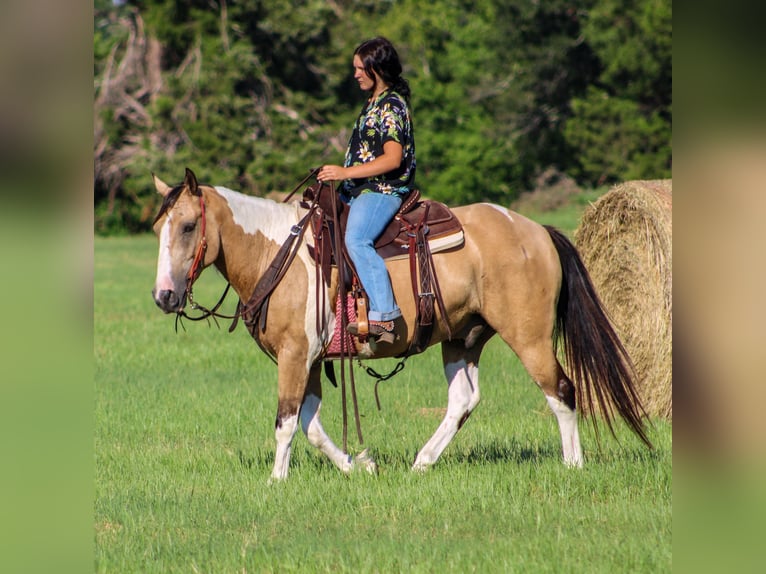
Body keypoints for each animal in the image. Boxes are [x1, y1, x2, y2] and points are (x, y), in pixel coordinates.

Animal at [151, 168, 651, 481]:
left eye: (189, 226)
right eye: (159, 229)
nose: (164, 296)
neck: (279, 254)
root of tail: (537, 231)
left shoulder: (295, 355)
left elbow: (287, 421)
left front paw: (276, 481)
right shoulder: (308, 358)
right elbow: (310, 423)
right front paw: (360, 466)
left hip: (528, 337)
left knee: (561, 391)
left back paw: (573, 466)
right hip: (463, 337)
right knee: (464, 399)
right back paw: (422, 462)